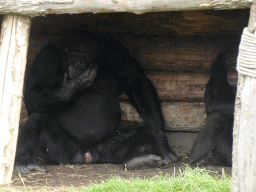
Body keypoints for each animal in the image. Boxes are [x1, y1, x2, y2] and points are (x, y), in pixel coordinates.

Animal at [13, 30, 176, 175]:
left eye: (87, 57)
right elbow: (34, 92)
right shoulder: (46, 55)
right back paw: (24, 163)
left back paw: (138, 160)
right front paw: (74, 84)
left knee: (145, 132)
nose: (79, 64)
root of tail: (87, 157)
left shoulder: (116, 50)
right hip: (60, 152)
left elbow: (135, 82)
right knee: (40, 114)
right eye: (75, 55)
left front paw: (163, 145)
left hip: (107, 151)